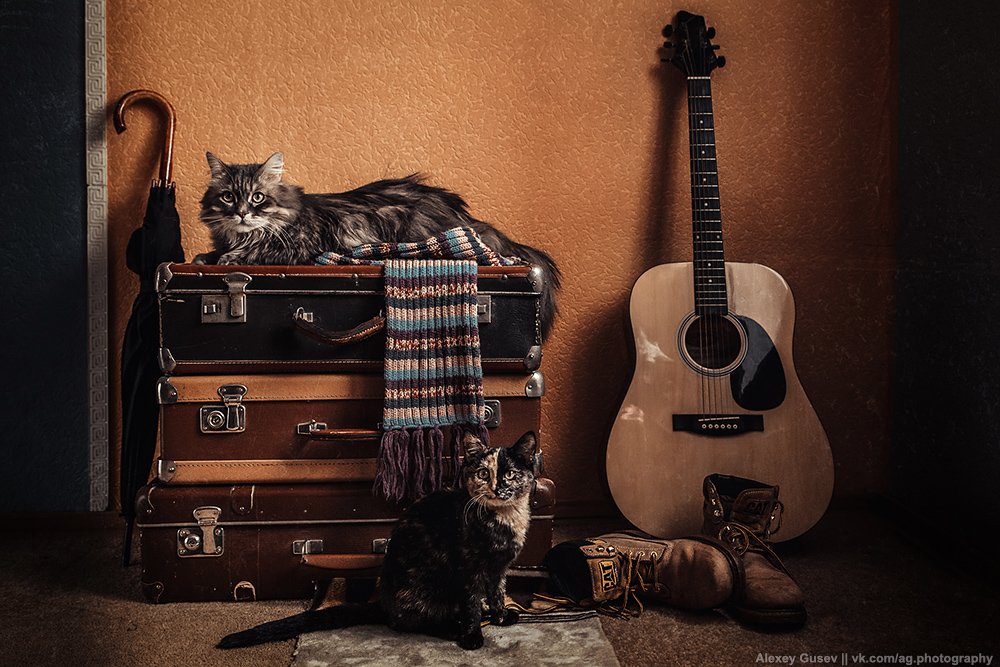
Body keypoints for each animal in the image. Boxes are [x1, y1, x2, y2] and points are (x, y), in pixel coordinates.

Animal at [197, 154, 564, 336]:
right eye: (228, 197)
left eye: (258, 197)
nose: (241, 212)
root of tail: (466, 217)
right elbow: (214, 251)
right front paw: (206, 257)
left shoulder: (297, 247)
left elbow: (255, 251)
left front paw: (230, 258)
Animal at [216, 434, 536, 652]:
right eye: (483, 474)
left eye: (510, 474)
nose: (497, 488)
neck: (504, 519)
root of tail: (383, 603)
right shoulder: (469, 569)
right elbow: (470, 602)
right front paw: (472, 636)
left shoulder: (499, 569)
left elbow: (496, 592)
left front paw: (500, 616)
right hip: (422, 593)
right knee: (412, 622)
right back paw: (451, 627)